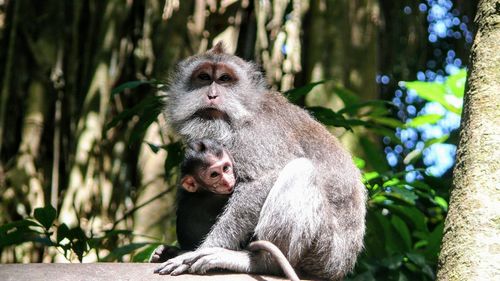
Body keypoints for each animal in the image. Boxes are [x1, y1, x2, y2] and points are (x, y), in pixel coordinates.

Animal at [153, 42, 368, 280]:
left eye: (224, 79)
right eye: (204, 77)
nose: (211, 95)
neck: (242, 114)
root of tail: (342, 265)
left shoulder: (257, 134)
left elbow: (263, 180)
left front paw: (207, 247)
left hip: (323, 251)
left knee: (301, 170)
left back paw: (261, 262)